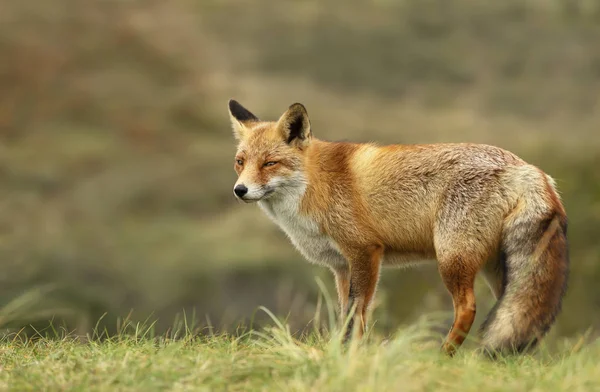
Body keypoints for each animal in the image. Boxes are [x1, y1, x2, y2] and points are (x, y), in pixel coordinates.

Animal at [227, 99, 568, 356]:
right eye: (240, 162)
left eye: (269, 163)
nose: (240, 190)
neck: (314, 185)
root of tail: (527, 167)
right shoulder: (341, 266)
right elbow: (347, 316)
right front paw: (346, 354)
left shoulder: (365, 252)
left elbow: (356, 314)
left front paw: (351, 357)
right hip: (497, 269)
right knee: (519, 315)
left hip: (452, 258)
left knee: (468, 309)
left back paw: (443, 356)